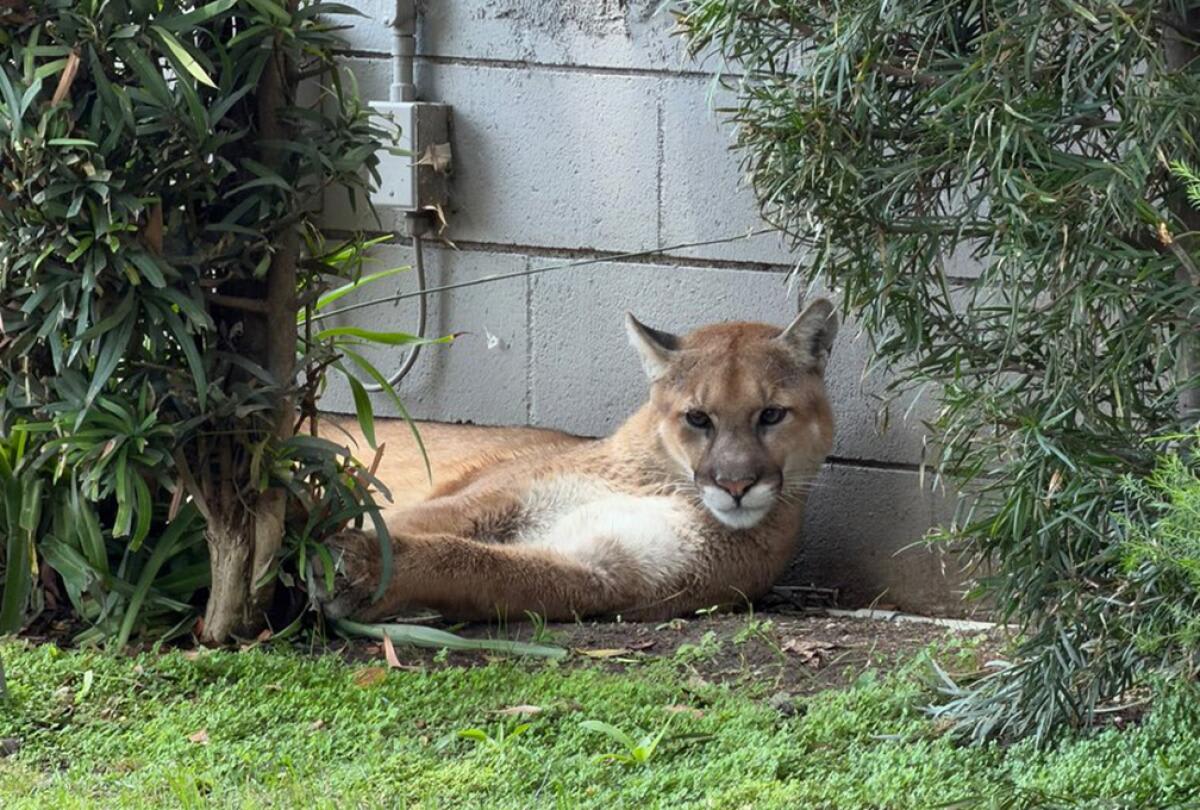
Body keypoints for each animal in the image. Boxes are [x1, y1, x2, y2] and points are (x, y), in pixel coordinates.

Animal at [318, 298, 838, 623]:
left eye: (771, 415)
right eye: (697, 418)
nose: (735, 484)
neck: (664, 485)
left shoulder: (606, 571)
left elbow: (477, 564)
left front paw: (360, 570)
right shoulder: (492, 500)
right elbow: (415, 523)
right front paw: (339, 556)